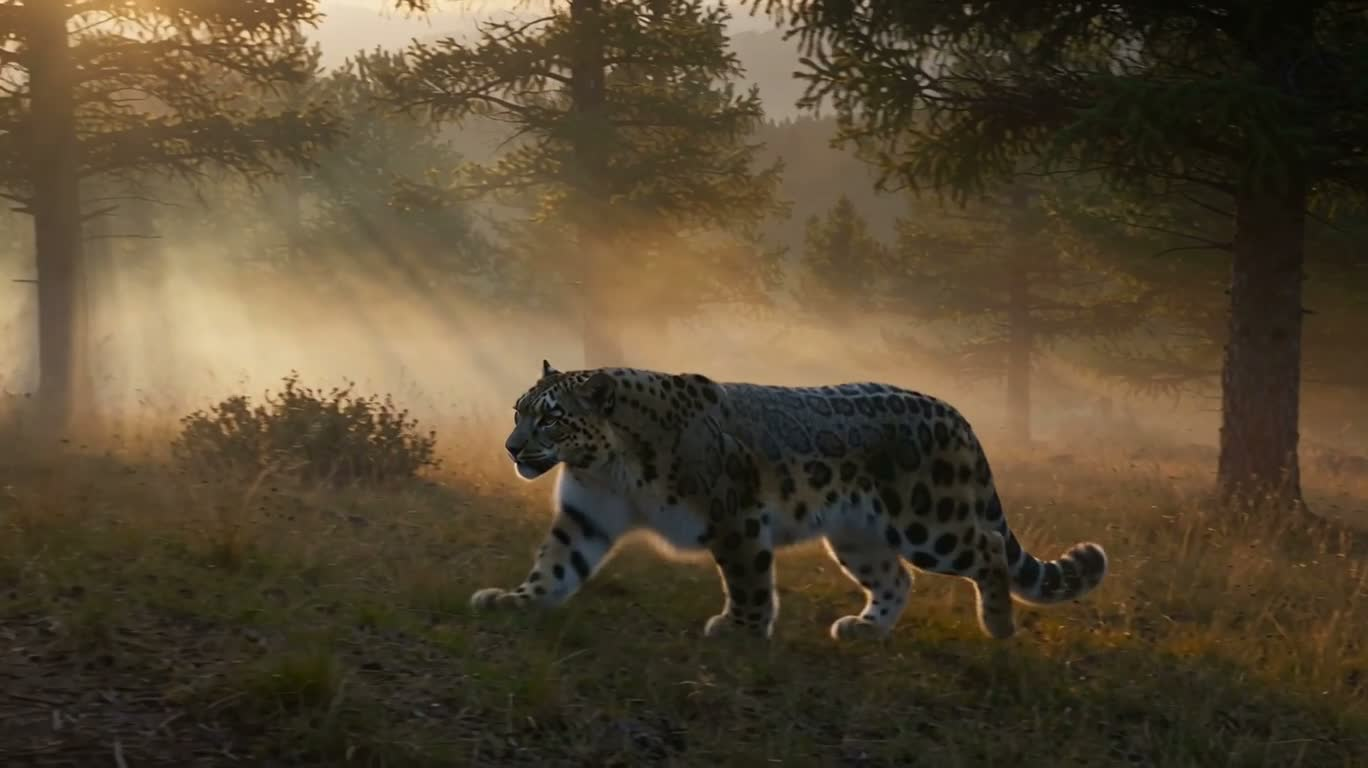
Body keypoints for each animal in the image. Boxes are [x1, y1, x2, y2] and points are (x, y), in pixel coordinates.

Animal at [471, 360, 1109, 642]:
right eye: (518, 410)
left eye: (550, 418)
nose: (511, 447)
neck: (607, 471)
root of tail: (958, 415)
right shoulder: (585, 514)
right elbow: (555, 564)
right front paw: (514, 600)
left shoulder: (735, 514)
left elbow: (748, 577)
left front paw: (742, 629)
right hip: (857, 535)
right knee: (896, 578)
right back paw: (864, 628)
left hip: (931, 521)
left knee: (989, 546)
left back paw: (997, 624)